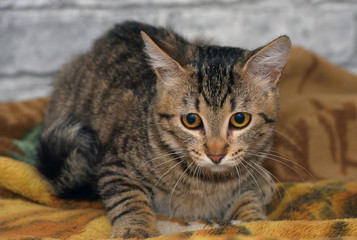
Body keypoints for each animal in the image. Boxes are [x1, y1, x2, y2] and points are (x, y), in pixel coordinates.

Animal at [37, 20, 290, 238]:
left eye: (239, 119)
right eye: (191, 120)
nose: (216, 155)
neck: (208, 183)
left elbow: (248, 196)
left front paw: (255, 220)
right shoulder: (115, 165)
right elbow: (129, 198)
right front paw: (136, 229)